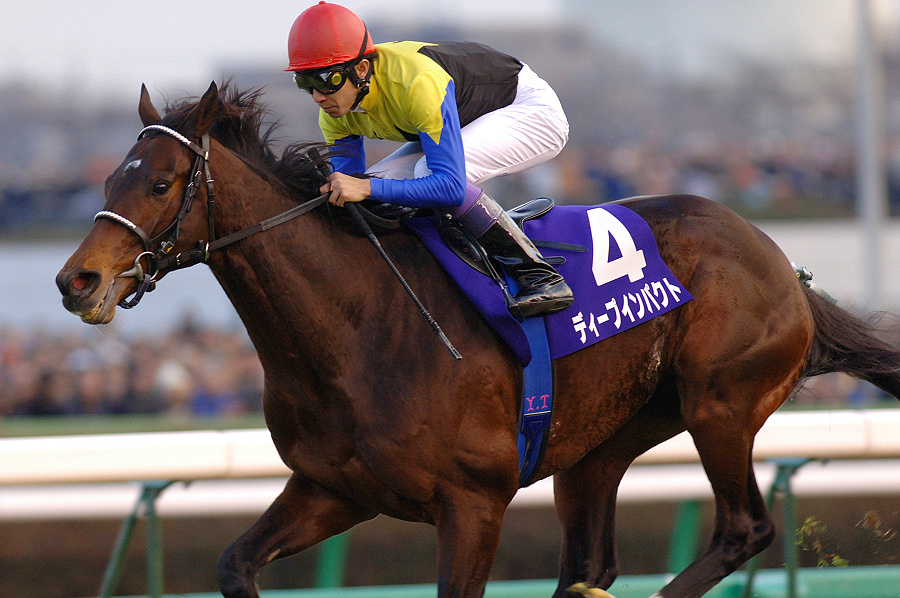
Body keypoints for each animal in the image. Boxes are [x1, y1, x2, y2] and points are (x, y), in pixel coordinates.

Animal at [56, 82, 900, 598]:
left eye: (160, 183)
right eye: (106, 182)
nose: (77, 281)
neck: (357, 329)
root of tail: (785, 267)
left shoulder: (473, 503)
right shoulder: (335, 489)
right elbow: (235, 564)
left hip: (720, 403)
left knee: (743, 527)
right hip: (601, 446)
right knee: (592, 560)